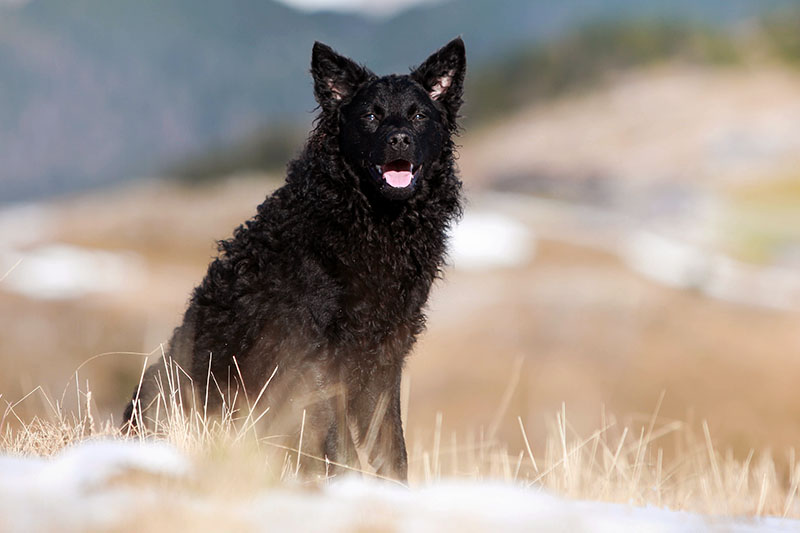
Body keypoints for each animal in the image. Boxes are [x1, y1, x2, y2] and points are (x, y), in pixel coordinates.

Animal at [122, 35, 466, 480]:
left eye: (419, 115)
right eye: (371, 116)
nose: (400, 140)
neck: (369, 219)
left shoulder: (386, 354)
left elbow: (392, 449)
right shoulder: (317, 357)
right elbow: (339, 445)